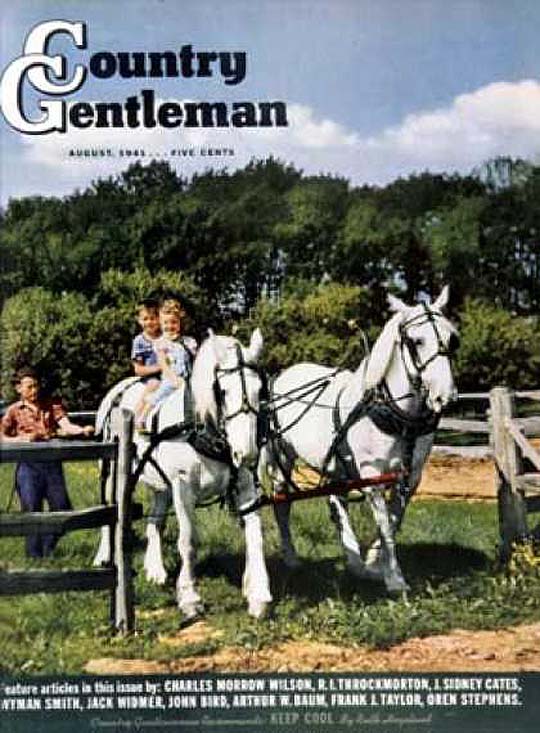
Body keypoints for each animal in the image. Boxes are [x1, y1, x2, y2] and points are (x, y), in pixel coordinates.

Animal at [93, 330, 272, 616]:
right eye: (222, 391)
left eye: (260, 391)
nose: (247, 454)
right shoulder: (183, 485)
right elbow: (188, 541)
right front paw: (189, 597)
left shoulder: (244, 485)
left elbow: (255, 536)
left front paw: (259, 595)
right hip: (110, 473)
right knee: (108, 513)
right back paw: (103, 556)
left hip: (161, 484)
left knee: (155, 521)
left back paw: (155, 569)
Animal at [260, 284, 458, 592]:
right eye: (416, 341)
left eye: (452, 338)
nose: (445, 396)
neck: (397, 417)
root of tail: (282, 376)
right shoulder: (372, 475)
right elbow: (385, 526)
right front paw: (395, 579)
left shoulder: (410, 477)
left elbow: (392, 522)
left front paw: (374, 565)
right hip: (282, 459)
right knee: (283, 505)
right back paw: (291, 558)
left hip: (335, 465)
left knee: (336, 502)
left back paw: (352, 560)